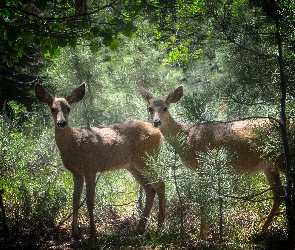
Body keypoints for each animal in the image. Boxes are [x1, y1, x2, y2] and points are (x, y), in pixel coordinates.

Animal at [35, 83, 165, 238]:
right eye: (52, 108)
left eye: (69, 108)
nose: (61, 123)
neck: (74, 144)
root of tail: (159, 133)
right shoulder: (76, 173)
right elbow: (75, 201)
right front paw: (74, 233)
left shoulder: (90, 168)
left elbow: (90, 201)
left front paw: (93, 234)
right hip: (133, 165)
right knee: (150, 189)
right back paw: (139, 229)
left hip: (146, 158)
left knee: (160, 185)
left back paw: (160, 228)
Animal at [138, 85, 286, 235]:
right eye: (149, 108)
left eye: (165, 108)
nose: (156, 122)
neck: (186, 137)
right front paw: (206, 230)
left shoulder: (202, 165)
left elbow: (203, 199)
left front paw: (201, 234)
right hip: (269, 165)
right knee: (279, 194)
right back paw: (261, 230)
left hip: (281, 157)